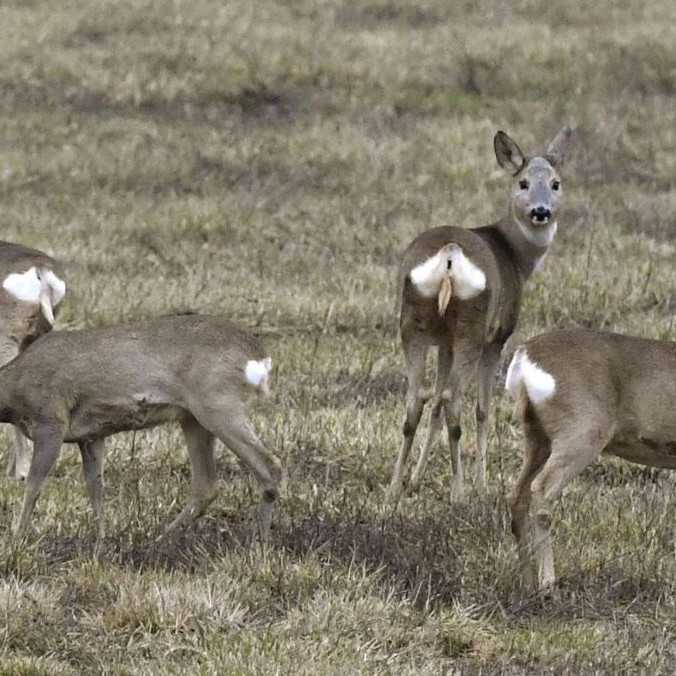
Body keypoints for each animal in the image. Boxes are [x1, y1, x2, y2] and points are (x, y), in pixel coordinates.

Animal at [0, 312, 282, 544]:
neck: (12, 390)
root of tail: (260, 356)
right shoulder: (90, 436)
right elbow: (95, 488)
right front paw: (100, 543)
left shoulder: (50, 421)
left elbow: (34, 485)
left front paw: (16, 539)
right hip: (193, 418)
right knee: (207, 485)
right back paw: (159, 538)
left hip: (218, 404)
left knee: (270, 466)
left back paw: (259, 542)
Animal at [388, 128, 572, 508]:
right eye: (522, 182)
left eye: (556, 183)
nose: (541, 211)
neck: (515, 256)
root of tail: (449, 256)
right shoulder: (498, 337)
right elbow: (483, 408)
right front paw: (481, 482)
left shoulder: (443, 342)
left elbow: (434, 404)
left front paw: (416, 478)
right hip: (472, 326)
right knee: (455, 402)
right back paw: (460, 493)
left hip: (415, 322)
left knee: (417, 400)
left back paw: (395, 487)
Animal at [504, 328, 676, 592]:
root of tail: (524, 355)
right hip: (582, 430)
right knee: (541, 489)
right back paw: (548, 584)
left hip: (536, 436)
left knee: (517, 495)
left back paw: (527, 583)